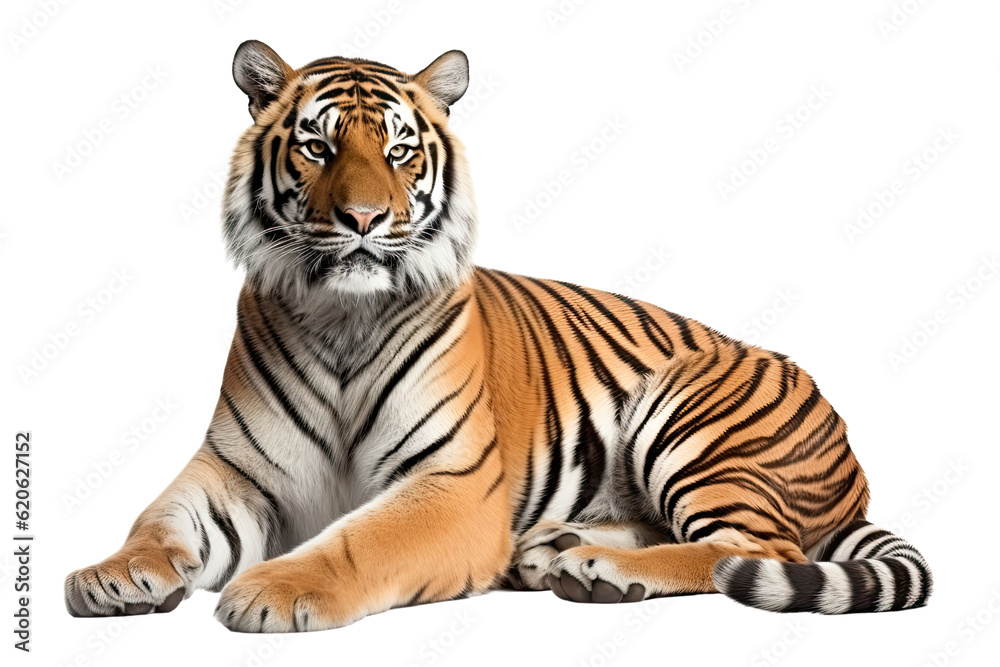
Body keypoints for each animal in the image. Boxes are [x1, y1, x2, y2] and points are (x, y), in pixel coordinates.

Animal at [64, 41, 932, 631]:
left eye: (399, 150)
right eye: (318, 145)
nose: (363, 218)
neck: (344, 317)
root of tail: (853, 464)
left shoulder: (451, 484)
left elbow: (356, 541)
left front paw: (270, 589)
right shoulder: (234, 473)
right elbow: (158, 519)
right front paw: (108, 576)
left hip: (691, 414)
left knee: (758, 550)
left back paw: (600, 566)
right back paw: (556, 550)